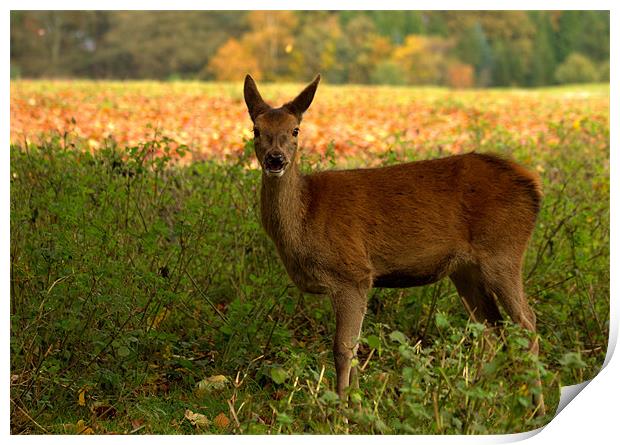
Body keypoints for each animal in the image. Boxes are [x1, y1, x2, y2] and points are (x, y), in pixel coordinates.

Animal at [242, 74, 544, 414]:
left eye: (295, 129)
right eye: (256, 129)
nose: (275, 159)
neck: (305, 217)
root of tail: (534, 186)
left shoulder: (353, 273)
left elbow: (343, 348)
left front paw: (342, 411)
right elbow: (355, 346)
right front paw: (357, 406)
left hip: (503, 251)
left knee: (526, 323)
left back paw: (534, 408)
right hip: (465, 270)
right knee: (492, 328)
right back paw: (474, 402)